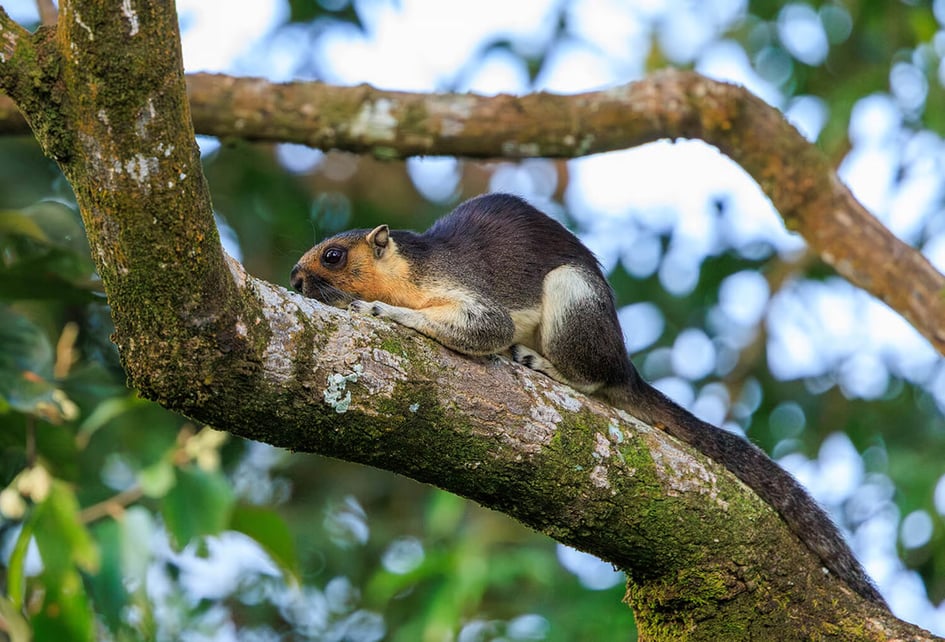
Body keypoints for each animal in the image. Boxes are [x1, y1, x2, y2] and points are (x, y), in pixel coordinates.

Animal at [290, 192, 885, 607]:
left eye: (334, 255)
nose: (294, 280)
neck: (409, 270)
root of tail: (624, 363)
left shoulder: (462, 288)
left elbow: (484, 326)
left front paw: (382, 312)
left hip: (574, 299)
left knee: (591, 380)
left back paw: (545, 365)